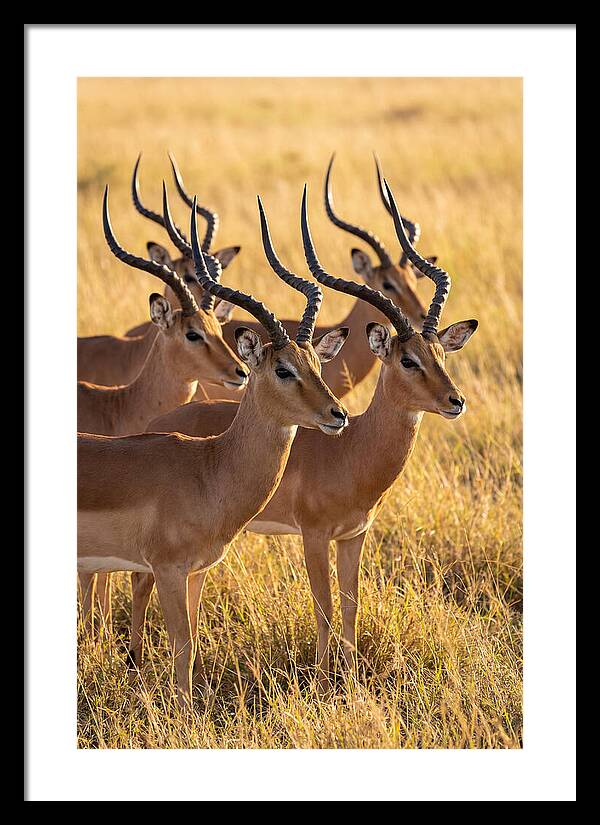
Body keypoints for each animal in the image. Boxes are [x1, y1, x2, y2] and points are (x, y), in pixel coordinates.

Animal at [77, 191, 349, 703]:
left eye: (316, 364)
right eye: (282, 368)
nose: (337, 415)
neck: (209, 469)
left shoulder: (197, 570)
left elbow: (195, 638)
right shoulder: (166, 569)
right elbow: (182, 647)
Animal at [127, 180, 478, 691]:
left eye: (441, 355)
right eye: (408, 359)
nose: (455, 401)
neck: (353, 450)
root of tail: (157, 424)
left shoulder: (354, 535)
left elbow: (351, 606)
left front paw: (350, 679)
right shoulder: (313, 535)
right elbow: (325, 607)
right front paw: (324, 679)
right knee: (140, 581)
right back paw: (134, 660)